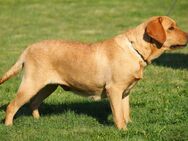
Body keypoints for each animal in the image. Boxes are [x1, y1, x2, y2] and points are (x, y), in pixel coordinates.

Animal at [0, 15, 187, 129]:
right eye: (171, 28)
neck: (135, 49)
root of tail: (27, 48)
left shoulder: (125, 92)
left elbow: (126, 112)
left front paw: (129, 125)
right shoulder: (114, 90)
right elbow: (118, 115)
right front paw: (122, 130)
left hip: (48, 86)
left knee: (33, 103)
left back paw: (38, 120)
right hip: (31, 84)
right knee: (12, 106)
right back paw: (8, 126)